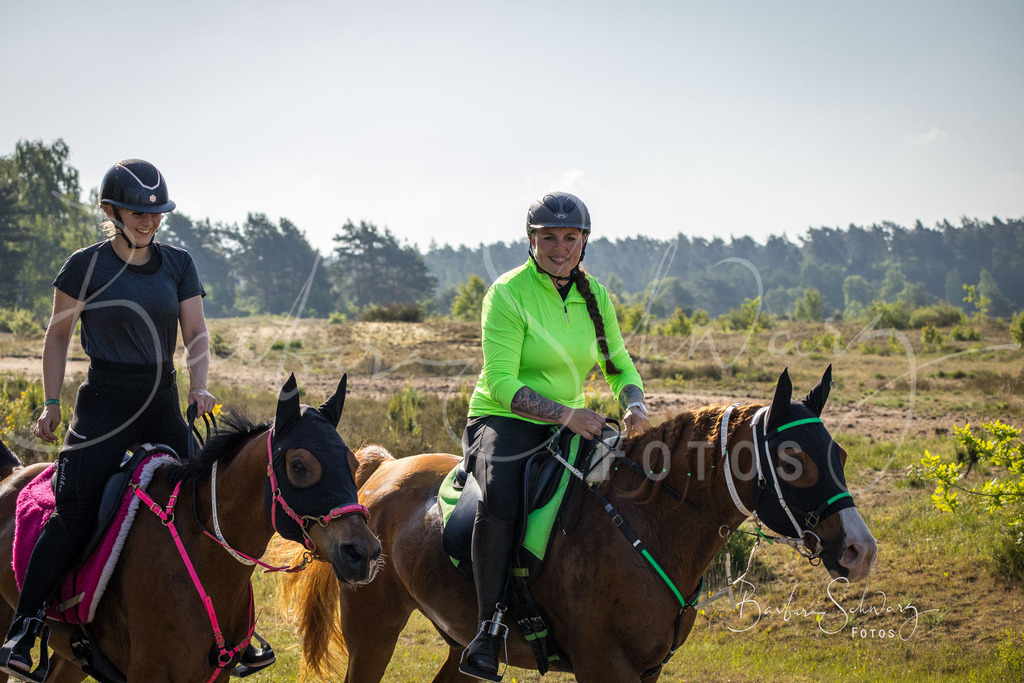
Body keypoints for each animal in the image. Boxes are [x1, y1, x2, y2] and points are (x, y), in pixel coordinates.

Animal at [0, 373, 382, 682]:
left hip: (72, 658)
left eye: (353, 464)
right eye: (299, 466)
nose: (363, 554)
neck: (204, 557)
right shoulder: (148, 675)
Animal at [283, 366, 878, 682]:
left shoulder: (645, 671)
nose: (860, 550)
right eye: (793, 461)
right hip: (373, 632)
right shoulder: (602, 667)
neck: (646, 522)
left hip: (457, 645)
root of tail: (381, 472)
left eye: (841, 455)